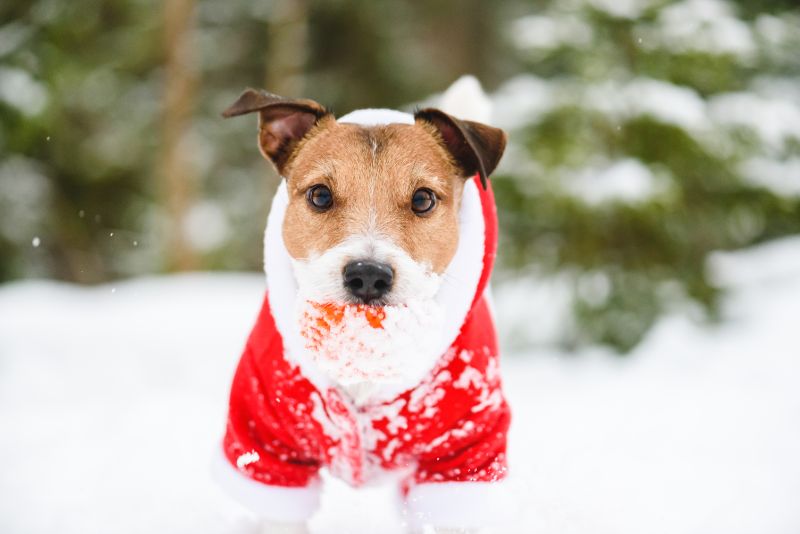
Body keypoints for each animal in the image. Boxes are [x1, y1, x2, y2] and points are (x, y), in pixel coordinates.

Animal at [212, 80, 512, 534]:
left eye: (423, 199)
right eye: (320, 195)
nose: (368, 275)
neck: (364, 347)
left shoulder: (464, 458)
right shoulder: (267, 450)